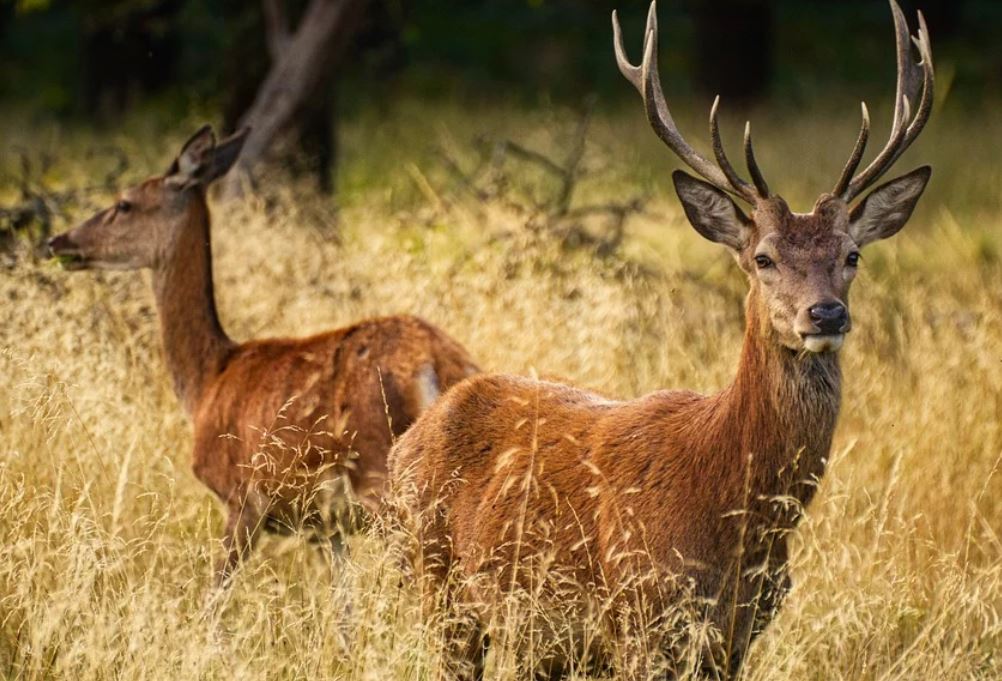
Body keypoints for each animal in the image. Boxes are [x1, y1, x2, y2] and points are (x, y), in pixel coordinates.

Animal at [47, 126, 479, 585]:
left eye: (124, 203)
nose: (57, 241)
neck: (207, 381)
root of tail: (436, 364)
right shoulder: (326, 526)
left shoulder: (243, 497)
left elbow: (214, 592)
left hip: (381, 475)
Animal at [388, 1, 933, 678]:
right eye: (763, 258)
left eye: (852, 254)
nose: (826, 314)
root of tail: (406, 443)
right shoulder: (639, 615)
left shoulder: (738, 636)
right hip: (436, 587)